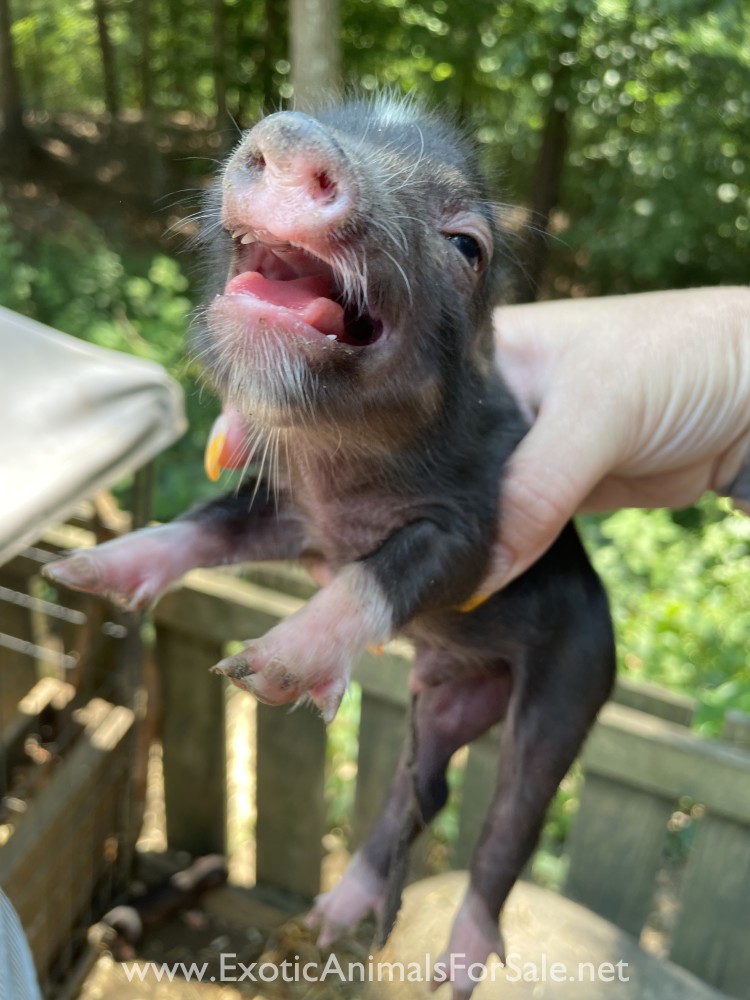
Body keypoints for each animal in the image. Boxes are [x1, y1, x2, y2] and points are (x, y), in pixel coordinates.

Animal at [45, 94, 616, 997]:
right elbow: (207, 522)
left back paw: (455, 967)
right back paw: (329, 917)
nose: (291, 135)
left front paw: (260, 667)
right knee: (422, 789)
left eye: (467, 245)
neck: (335, 470)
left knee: (508, 820)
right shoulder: (288, 510)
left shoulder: (478, 531)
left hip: (576, 677)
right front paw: (79, 569)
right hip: (442, 698)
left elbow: (385, 572)